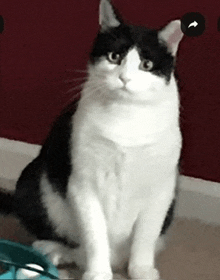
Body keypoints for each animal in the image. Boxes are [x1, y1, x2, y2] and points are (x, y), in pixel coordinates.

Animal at [1, 1, 184, 278]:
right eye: (114, 57)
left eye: (147, 64)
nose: (124, 78)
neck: (126, 118)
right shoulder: (83, 184)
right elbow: (95, 235)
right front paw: (98, 272)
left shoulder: (161, 187)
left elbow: (145, 236)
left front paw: (141, 269)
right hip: (32, 178)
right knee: (71, 245)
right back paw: (53, 252)